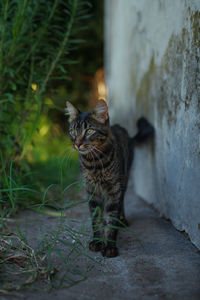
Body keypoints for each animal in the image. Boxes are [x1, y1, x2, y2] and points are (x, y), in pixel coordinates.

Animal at [66, 99, 154, 258]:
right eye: (73, 132)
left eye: (89, 131)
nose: (77, 144)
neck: (94, 162)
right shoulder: (91, 191)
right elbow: (96, 218)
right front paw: (97, 241)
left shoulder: (114, 190)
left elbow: (112, 218)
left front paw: (110, 246)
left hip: (124, 179)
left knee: (122, 201)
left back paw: (122, 220)